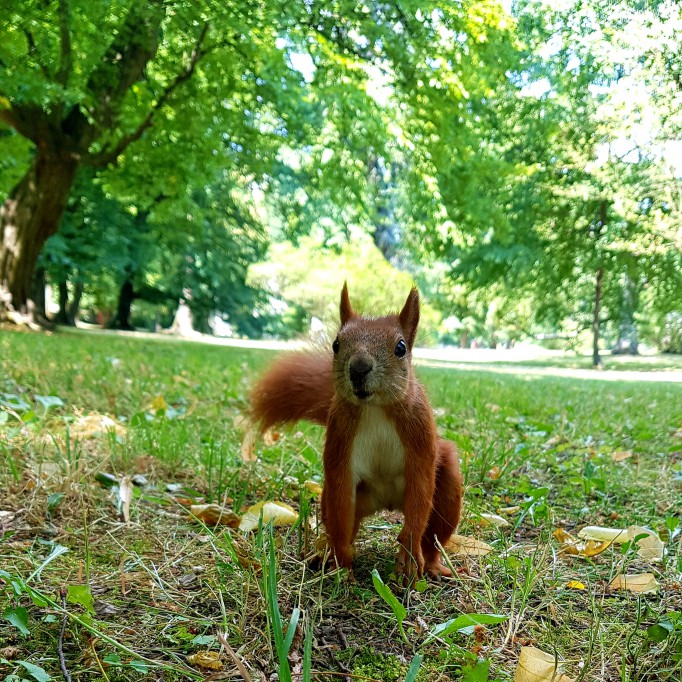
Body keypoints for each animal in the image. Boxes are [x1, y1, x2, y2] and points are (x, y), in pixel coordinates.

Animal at [247, 284, 460, 576]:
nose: (359, 368)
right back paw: (325, 554)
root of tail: (387, 504)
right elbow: (341, 497)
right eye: (336, 345)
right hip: (351, 500)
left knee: (433, 535)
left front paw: (408, 553)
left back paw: (432, 564)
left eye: (401, 347)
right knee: (343, 520)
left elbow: (421, 493)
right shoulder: (341, 440)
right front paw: (341, 561)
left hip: (447, 489)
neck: (375, 408)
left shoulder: (419, 437)